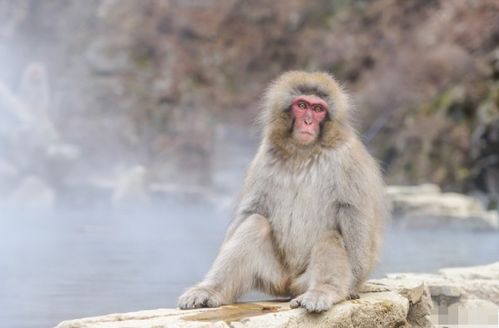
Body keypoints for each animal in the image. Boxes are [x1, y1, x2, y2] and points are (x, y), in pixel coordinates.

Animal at [178, 71, 388, 312]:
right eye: (302, 105)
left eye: (318, 109)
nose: (308, 122)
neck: (303, 152)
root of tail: (290, 284)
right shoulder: (265, 155)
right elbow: (251, 210)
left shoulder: (349, 158)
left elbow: (354, 215)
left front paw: (350, 286)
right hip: (276, 277)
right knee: (255, 223)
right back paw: (211, 290)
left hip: (304, 281)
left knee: (330, 235)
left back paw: (324, 291)